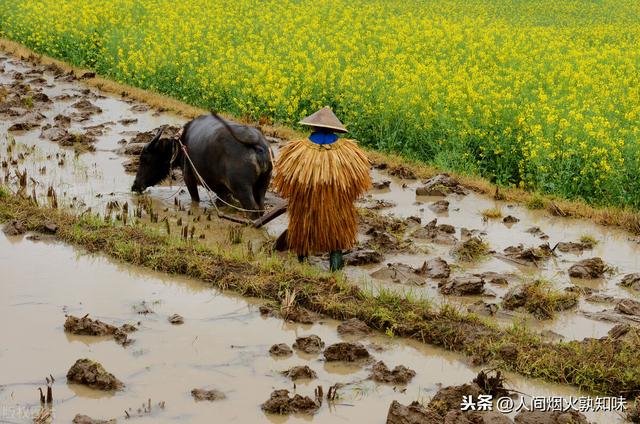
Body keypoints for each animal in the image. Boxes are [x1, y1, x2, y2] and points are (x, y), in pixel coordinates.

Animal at [132, 113, 272, 219]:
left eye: (145, 159)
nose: (135, 185)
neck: (182, 145)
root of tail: (258, 144)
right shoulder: (221, 189)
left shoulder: (189, 177)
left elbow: (195, 199)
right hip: (262, 186)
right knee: (260, 208)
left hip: (242, 188)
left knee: (252, 209)